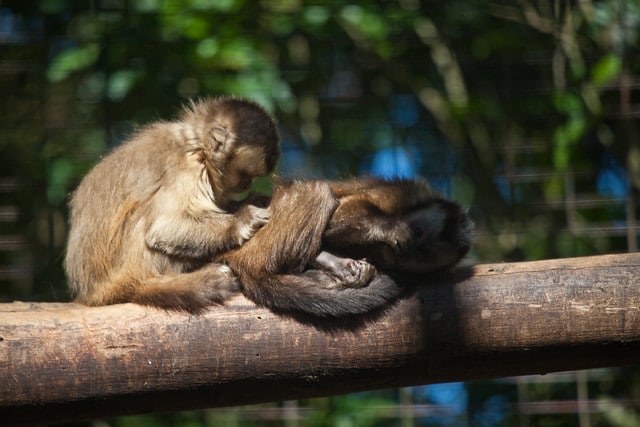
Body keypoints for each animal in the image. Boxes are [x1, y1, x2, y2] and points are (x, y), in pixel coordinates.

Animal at [64, 97, 280, 310]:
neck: (194, 142)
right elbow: (163, 228)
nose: (247, 184)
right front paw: (242, 219)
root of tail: (92, 290)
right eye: (245, 175)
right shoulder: (189, 166)